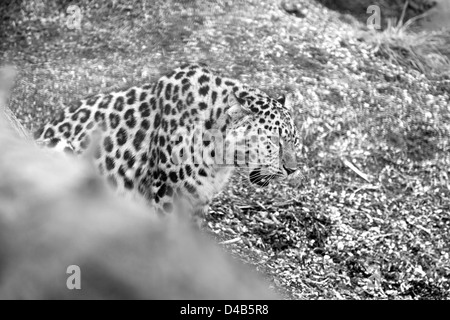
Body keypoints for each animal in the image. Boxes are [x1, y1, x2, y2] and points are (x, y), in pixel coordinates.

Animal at [33, 63, 300, 218]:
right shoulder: (169, 191)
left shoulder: (199, 199)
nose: (292, 170)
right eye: (273, 140)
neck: (219, 158)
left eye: (294, 141)